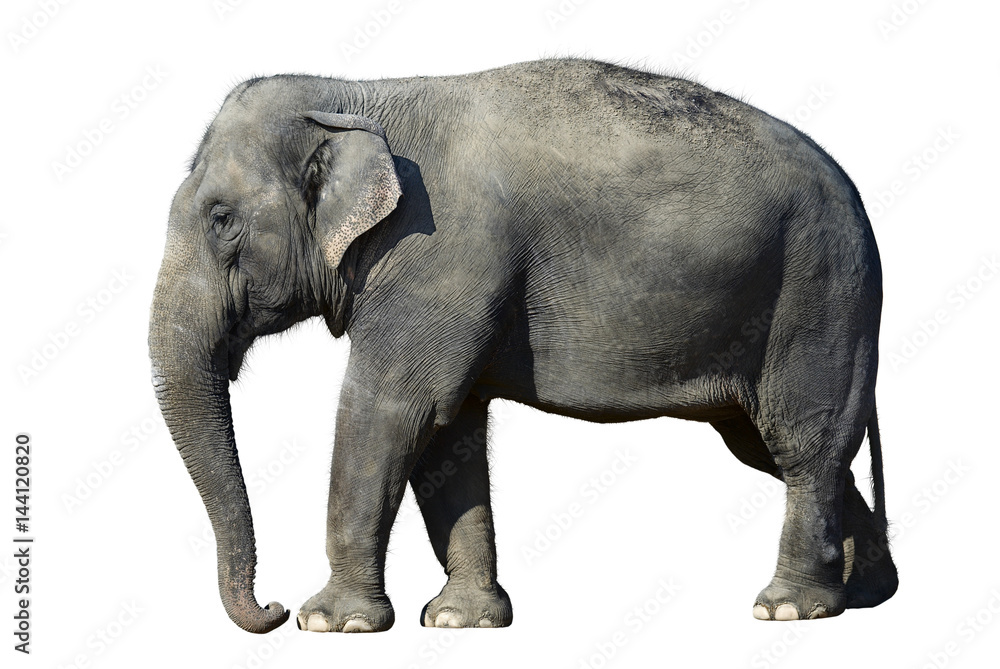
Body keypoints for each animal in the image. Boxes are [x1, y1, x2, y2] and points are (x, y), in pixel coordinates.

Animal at [149, 58, 898, 634]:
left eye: (221, 219)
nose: (270, 608)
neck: (356, 93)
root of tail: (855, 191)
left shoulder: (436, 252)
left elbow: (392, 410)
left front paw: (333, 623)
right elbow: (449, 436)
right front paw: (461, 619)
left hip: (820, 288)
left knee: (802, 440)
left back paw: (789, 607)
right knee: (781, 446)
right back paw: (863, 594)